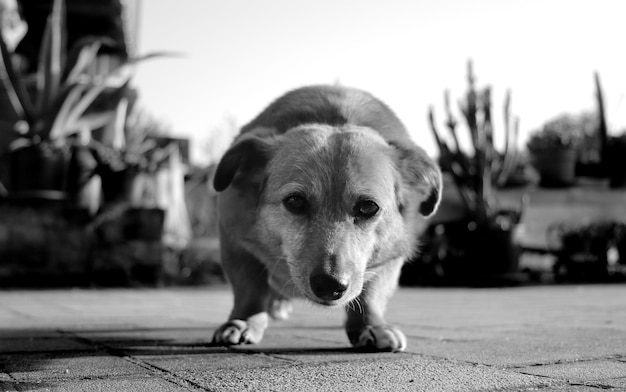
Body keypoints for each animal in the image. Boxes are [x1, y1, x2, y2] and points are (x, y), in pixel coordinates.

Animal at [212, 86, 442, 352]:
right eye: (294, 201)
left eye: (368, 207)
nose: (330, 285)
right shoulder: (234, 240)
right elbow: (249, 288)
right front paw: (244, 321)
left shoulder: (391, 256)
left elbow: (372, 293)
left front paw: (371, 325)